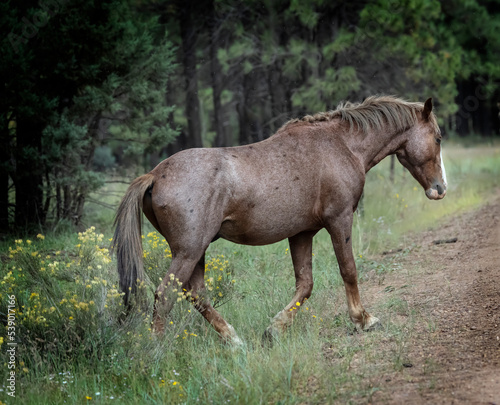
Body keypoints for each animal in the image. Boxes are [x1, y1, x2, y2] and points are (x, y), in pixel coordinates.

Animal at [114, 94, 450, 344]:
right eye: (437, 137)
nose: (440, 189)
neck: (341, 145)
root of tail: (155, 175)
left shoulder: (301, 233)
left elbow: (305, 284)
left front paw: (275, 329)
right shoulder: (339, 220)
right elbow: (349, 270)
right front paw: (363, 319)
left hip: (195, 253)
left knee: (197, 296)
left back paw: (234, 341)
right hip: (189, 251)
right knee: (165, 296)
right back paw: (156, 352)